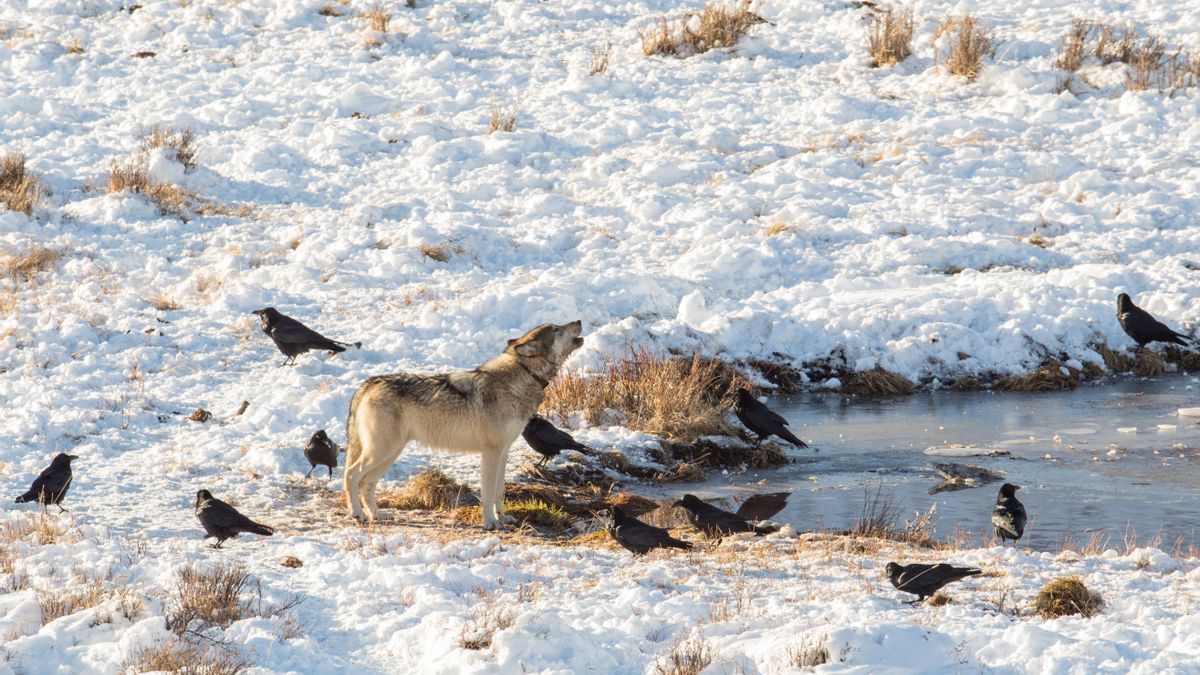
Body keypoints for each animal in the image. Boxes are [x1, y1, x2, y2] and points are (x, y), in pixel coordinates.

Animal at [343, 321, 583, 529]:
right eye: (556, 329)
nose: (579, 321)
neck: (522, 377)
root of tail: (367, 384)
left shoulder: (504, 451)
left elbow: (499, 490)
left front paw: (503, 518)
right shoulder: (491, 452)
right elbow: (488, 492)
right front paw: (490, 523)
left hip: (390, 453)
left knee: (367, 483)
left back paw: (377, 515)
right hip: (382, 452)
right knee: (351, 475)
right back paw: (357, 514)